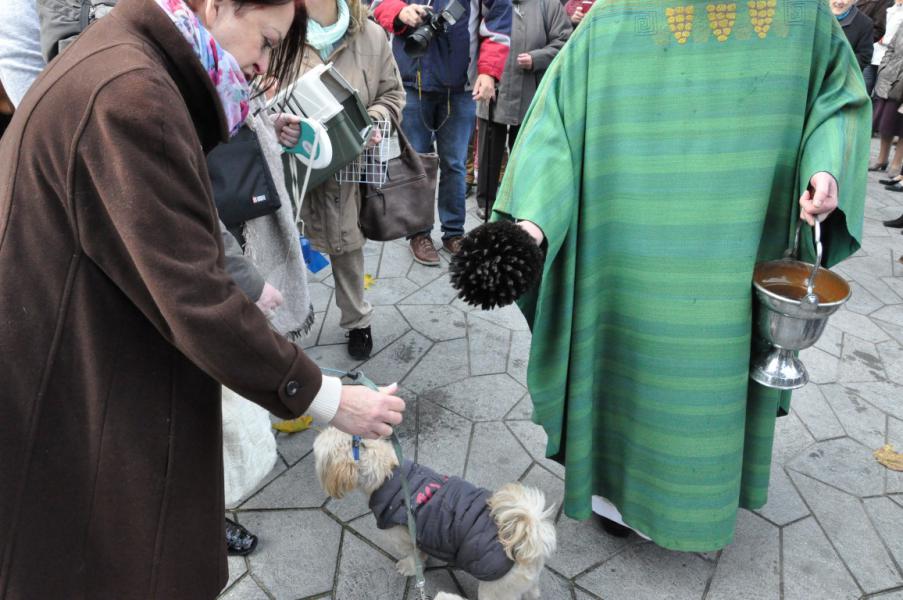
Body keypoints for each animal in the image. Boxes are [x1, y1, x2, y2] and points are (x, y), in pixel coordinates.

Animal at [312, 424, 556, 596]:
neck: (387, 472)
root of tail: (529, 539)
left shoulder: (405, 537)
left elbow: (414, 556)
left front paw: (408, 567)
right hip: (525, 585)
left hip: (495, 589)